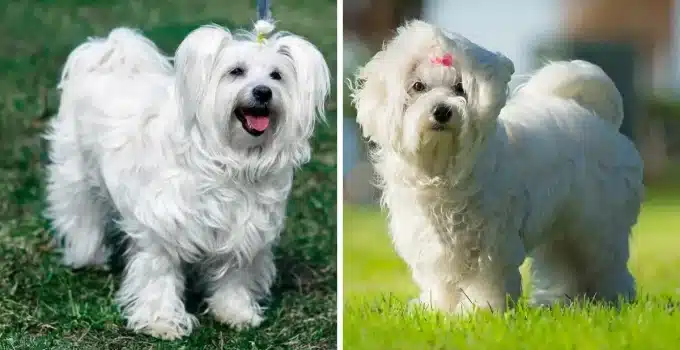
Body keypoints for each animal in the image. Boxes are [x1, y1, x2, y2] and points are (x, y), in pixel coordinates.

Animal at [43, 21, 330, 340]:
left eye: (276, 75)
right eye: (236, 71)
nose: (263, 92)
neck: (230, 158)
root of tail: (107, 54)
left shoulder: (243, 228)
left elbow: (234, 273)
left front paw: (235, 312)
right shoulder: (161, 225)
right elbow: (159, 274)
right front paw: (162, 322)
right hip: (76, 174)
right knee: (81, 214)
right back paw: (87, 256)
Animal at [350, 19, 644, 314]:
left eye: (460, 87)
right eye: (418, 86)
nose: (442, 111)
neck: (443, 167)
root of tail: (596, 118)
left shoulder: (490, 242)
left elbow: (485, 280)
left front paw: (479, 311)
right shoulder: (433, 242)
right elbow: (441, 279)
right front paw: (438, 309)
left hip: (597, 224)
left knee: (603, 264)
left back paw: (610, 300)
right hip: (565, 228)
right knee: (565, 263)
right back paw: (564, 303)